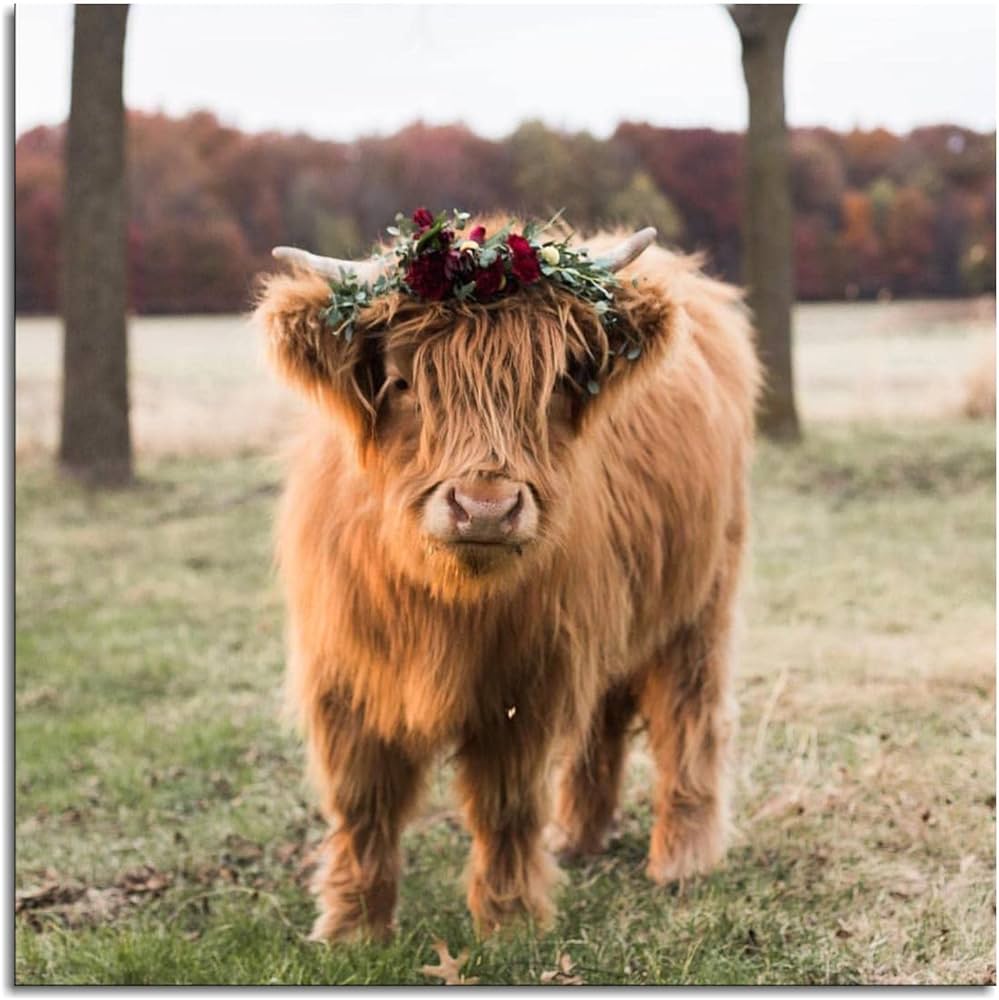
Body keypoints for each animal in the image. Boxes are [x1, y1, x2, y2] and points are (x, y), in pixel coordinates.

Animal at [253, 219, 761, 942]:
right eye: (402, 381)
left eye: (550, 384)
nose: (486, 507)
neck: (444, 598)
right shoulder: (346, 675)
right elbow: (363, 803)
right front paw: (352, 928)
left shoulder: (525, 682)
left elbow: (505, 803)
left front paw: (509, 921)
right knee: (602, 720)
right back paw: (578, 837)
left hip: (701, 602)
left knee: (689, 716)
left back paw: (683, 858)